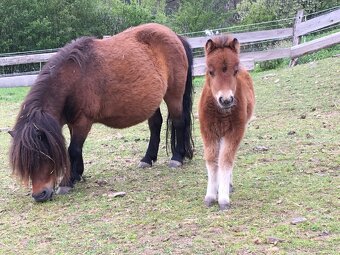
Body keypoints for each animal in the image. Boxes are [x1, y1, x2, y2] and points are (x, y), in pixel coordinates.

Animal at [8, 23, 194, 201]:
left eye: (44, 156)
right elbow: (76, 150)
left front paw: (67, 182)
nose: (39, 195)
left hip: (174, 95)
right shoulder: (73, 123)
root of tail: (175, 36)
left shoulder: (83, 121)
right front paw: (77, 175)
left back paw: (177, 158)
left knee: (179, 122)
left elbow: (73, 150)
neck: (72, 77)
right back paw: (147, 159)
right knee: (155, 125)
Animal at [198, 36, 254, 211]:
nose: (226, 100)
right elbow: (211, 161)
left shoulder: (235, 132)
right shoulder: (208, 132)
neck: (221, 112)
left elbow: (226, 161)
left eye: (235, 71)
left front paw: (223, 198)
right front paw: (210, 196)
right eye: (210, 71)